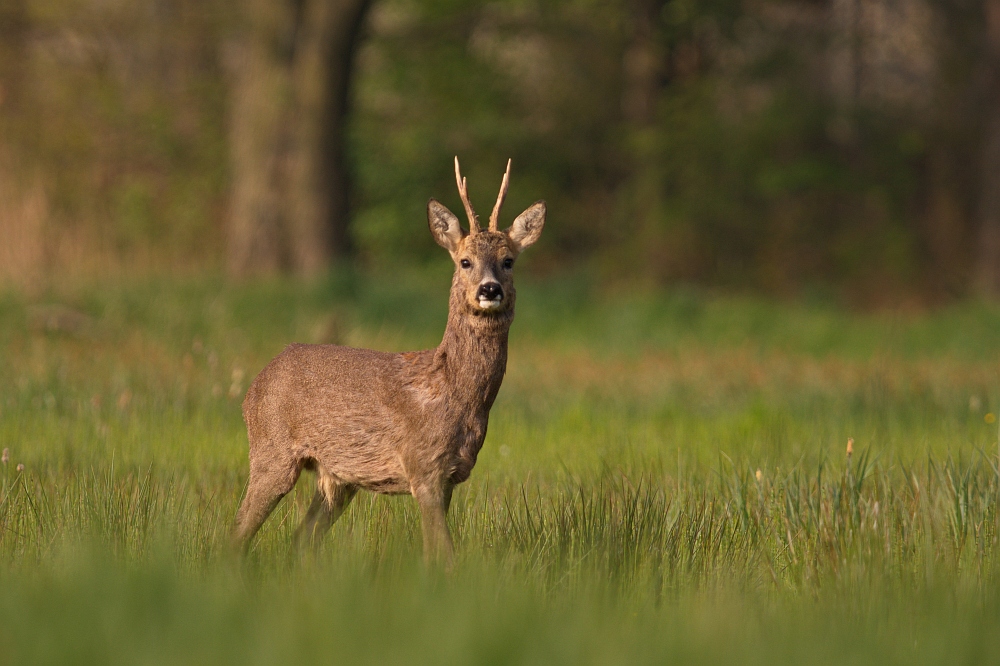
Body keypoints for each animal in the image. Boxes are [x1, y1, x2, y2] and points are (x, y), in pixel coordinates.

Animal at [233, 157, 544, 560]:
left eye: (508, 261)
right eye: (465, 261)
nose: (489, 289)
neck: (455, 390)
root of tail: (254, 386)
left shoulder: (450, 475)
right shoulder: (423, 465)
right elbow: (442, 553)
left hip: (337, 478)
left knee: (301, 539)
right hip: (271, 450)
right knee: (238, 531)